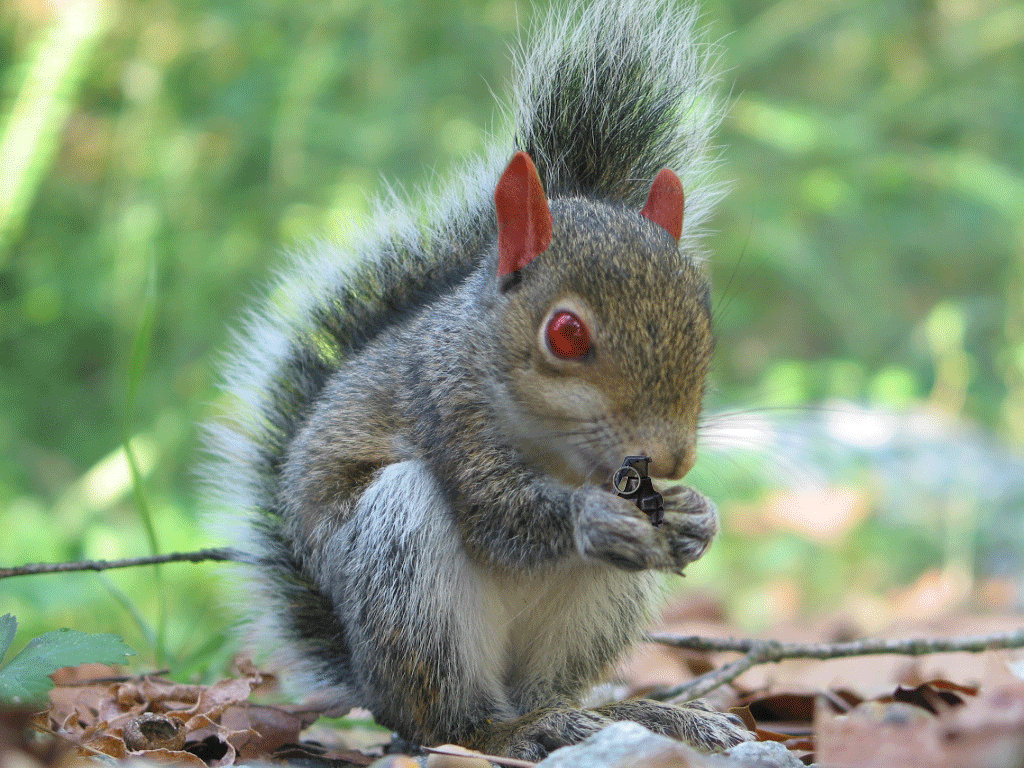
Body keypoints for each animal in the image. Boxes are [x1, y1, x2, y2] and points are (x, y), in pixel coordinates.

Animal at [205, 0, 753, 759]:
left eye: (701, 311)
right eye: (566, 332)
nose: (672, 458)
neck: (563, 453)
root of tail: (372, 688)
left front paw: (698, 513)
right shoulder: (446, 406)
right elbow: (497, 514)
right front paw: (589, 516)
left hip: (601, 607)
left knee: (551, 687)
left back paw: (637, 717)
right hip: (402, 566)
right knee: (453, 722)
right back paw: (518, 730)